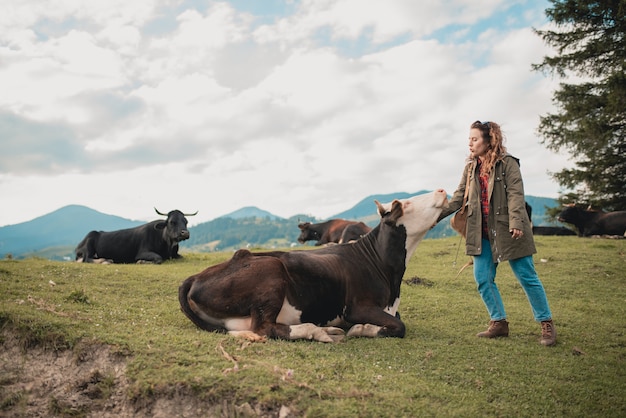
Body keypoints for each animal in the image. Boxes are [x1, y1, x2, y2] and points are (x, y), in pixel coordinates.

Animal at [178, 189, 446, 342]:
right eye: (406, 204)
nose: (442, 190)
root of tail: (194, 277)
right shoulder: (355, 307)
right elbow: (399, 326)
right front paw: (362, 329)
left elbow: (397, 319)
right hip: (272, 270)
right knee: (265, 328)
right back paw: (318, 332)